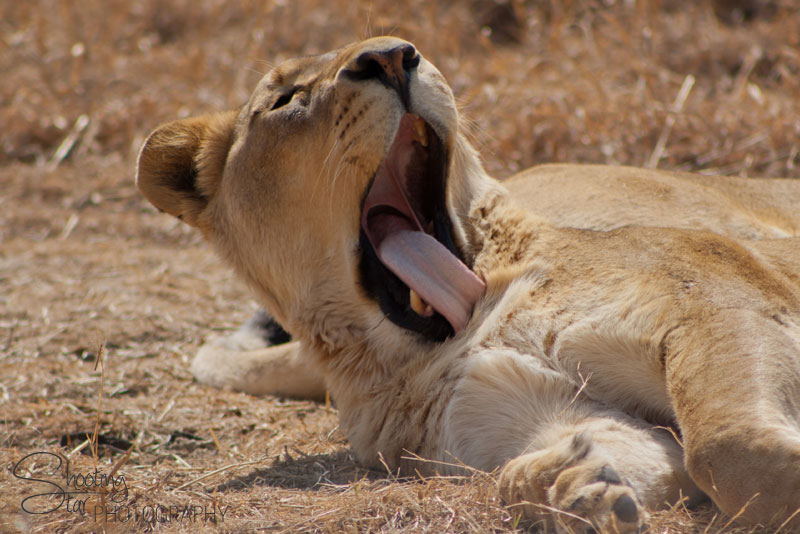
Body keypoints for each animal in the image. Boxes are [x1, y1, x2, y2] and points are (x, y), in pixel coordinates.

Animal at [136, 37, 800, 532]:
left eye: (400, 46)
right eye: (285, 99)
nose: (391, 56)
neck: (449, 332)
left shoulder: (715, 302)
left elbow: (726, 445)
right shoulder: (524, 412)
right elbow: (602, 458)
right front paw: (573, 485)